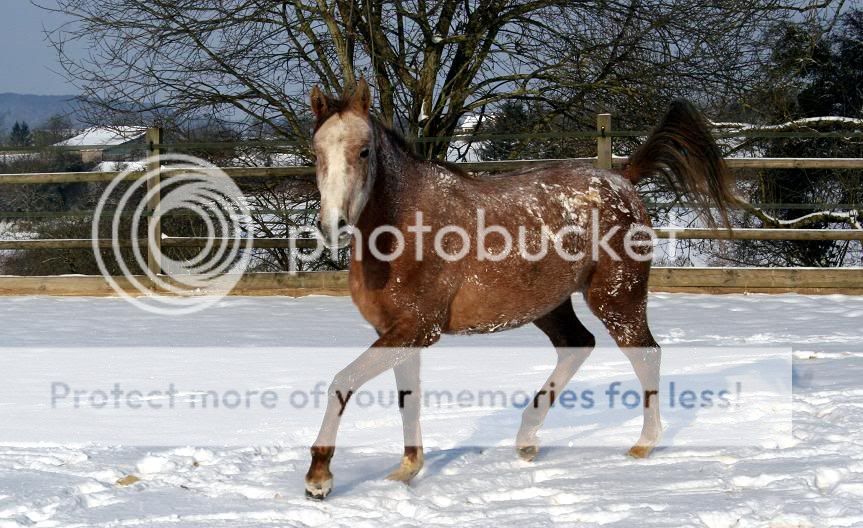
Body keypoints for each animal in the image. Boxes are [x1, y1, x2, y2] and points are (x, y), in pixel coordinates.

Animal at [304, 78, 736, 500]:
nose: (333, 226)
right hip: (549, 304)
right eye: (316, 151)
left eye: (363, 151)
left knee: (645, 355)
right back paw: (527, 437)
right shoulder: (395, 330)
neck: (406, 225)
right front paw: (406, 471)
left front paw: (319, 478)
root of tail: (622, 177)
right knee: (577, 344)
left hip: (616, 297)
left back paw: (643, 444)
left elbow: (342, 381)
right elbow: (407, 399)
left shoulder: (419, 328)